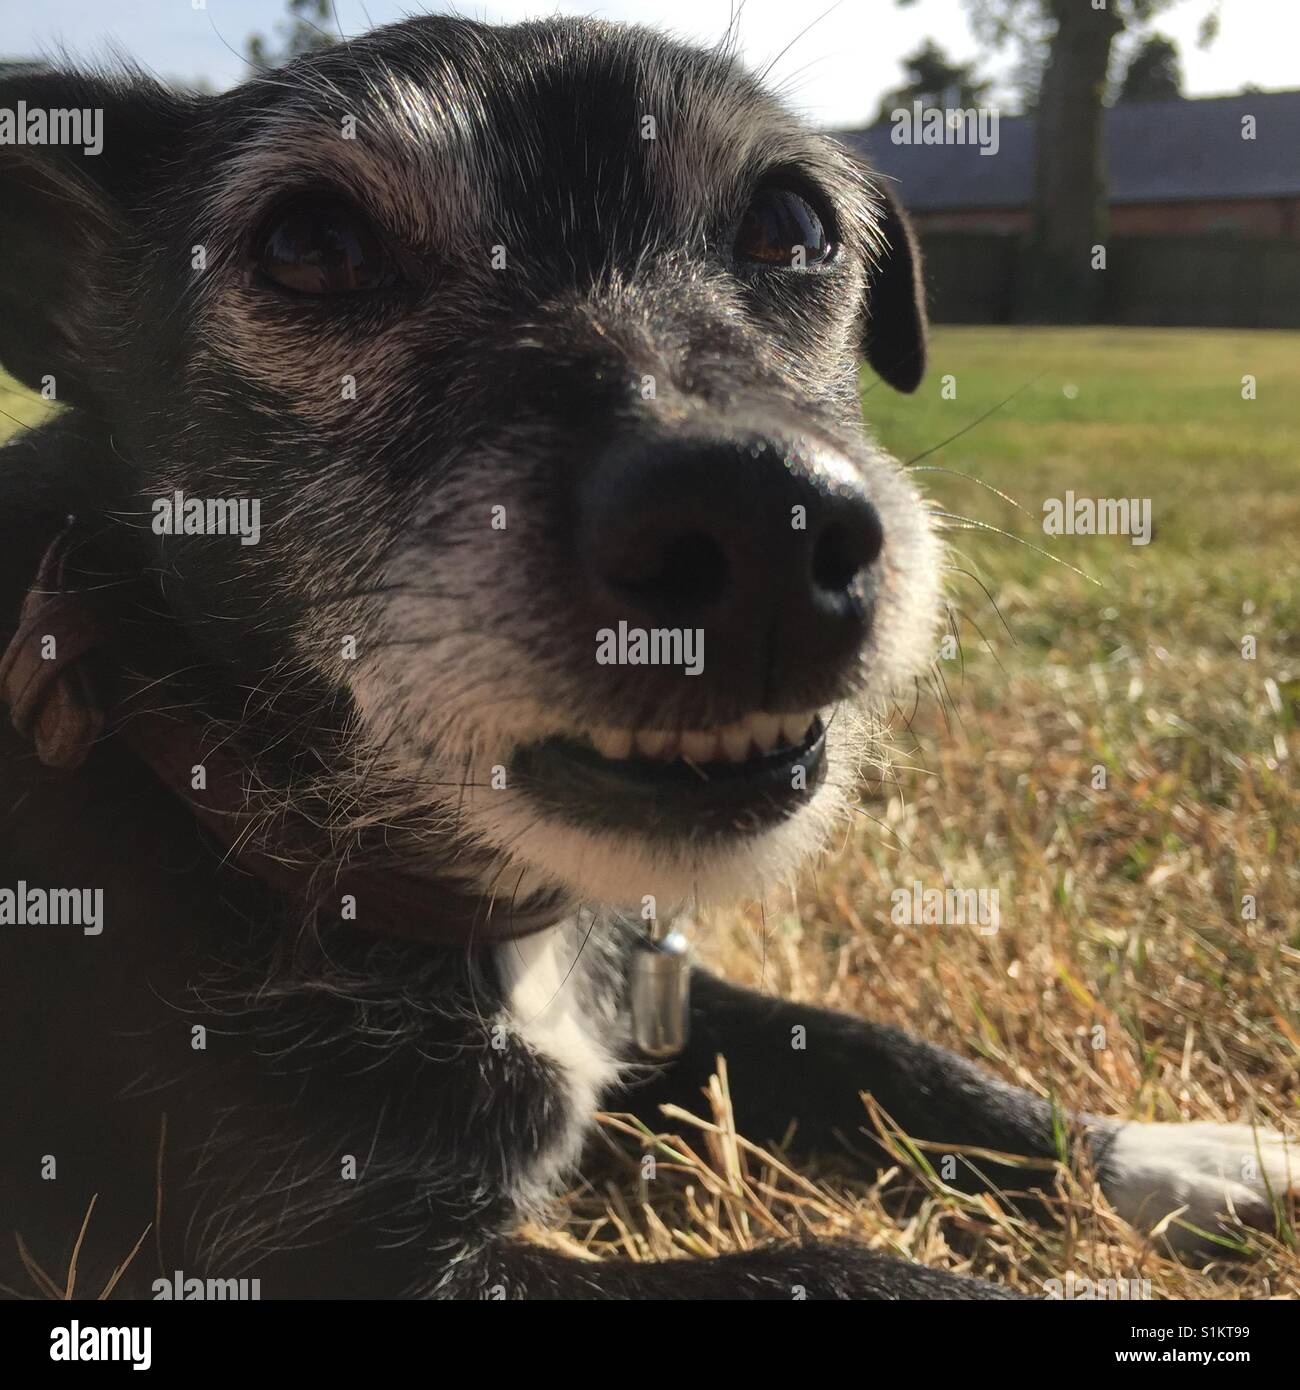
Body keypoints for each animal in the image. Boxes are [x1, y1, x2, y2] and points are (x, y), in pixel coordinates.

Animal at [0, 16, 1295, 1295]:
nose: (761, 521)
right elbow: (825, 1262)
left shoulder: (657, 997)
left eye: (793, 222)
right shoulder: (303, 1264)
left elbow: (876, 1050)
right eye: (311, 247)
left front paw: (1168, 1158)